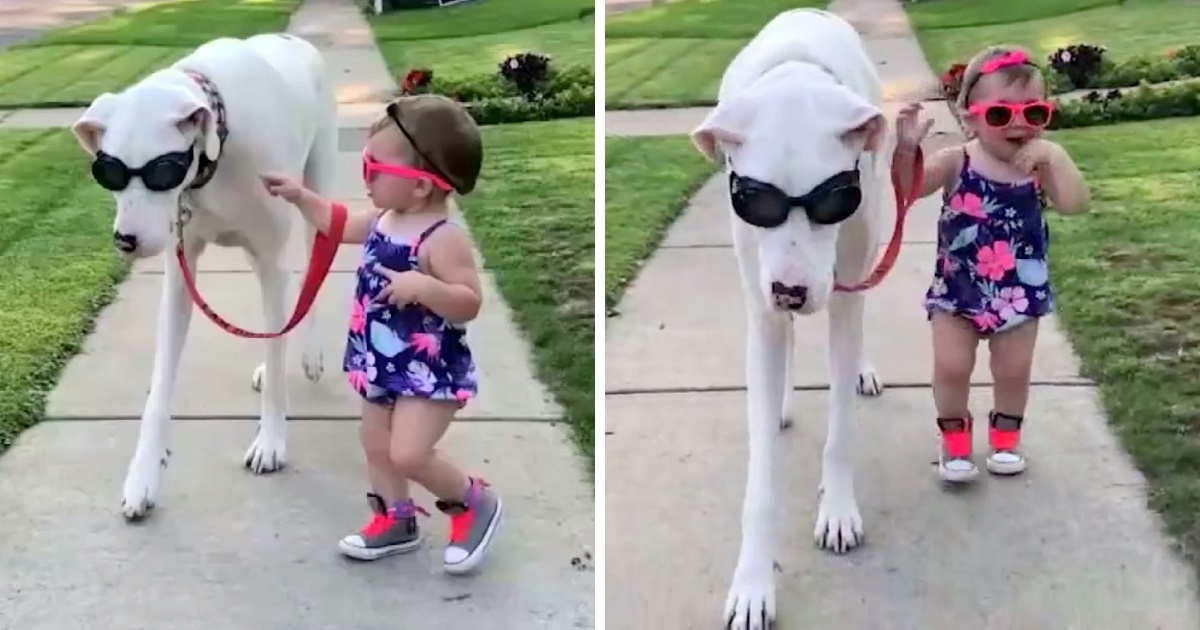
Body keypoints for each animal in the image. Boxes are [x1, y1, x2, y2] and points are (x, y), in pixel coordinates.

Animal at [72, 31, 340, 518]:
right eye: (108, 172)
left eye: (162, 170)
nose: (125, 241)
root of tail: (293, 38)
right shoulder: (182, 275)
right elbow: (160, 387)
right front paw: (143, 475)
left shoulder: (270, 256)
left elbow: (278, 360)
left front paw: (271, 441)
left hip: (316, 198)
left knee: (308, 280)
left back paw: (309, 355)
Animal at [691, 9, 888, 628]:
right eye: (753, 199)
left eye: (835, 199)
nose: (791, 290)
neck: (794, 86)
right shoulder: (761, 309)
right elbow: (761, 484)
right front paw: (753, 582)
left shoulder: (844, 290)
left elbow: (840, 431)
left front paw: (839, 509)